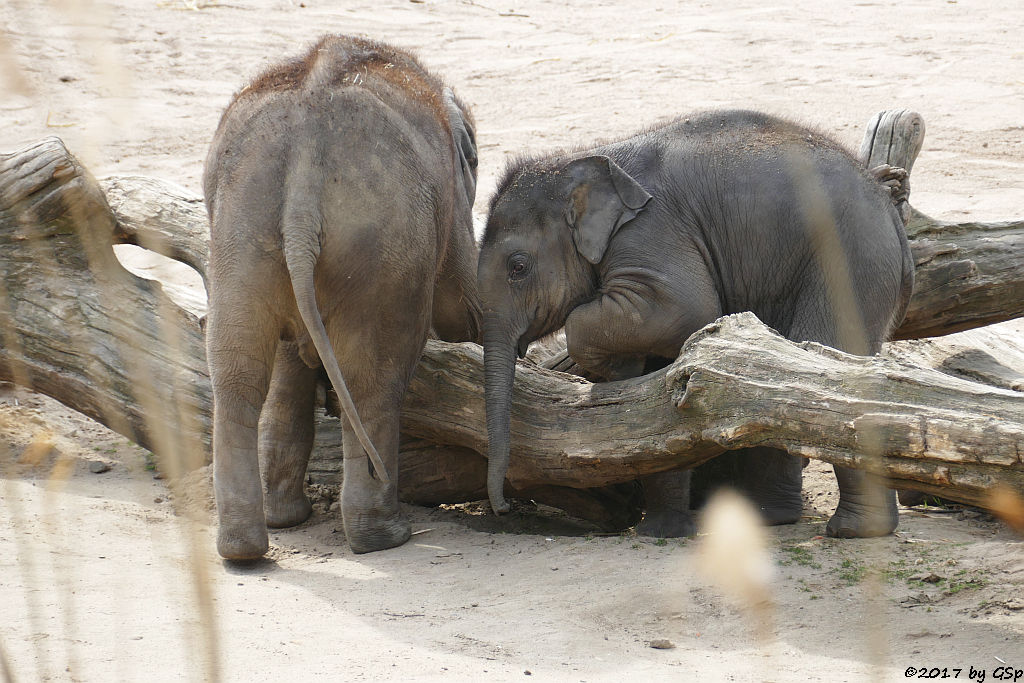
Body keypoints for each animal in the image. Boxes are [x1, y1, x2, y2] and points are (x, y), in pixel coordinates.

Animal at [207, 36, 483, 561]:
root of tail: (305, 158)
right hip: (382, 246)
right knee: (375, 376)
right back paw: (384, 537)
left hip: (239, 231)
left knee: (237, 369)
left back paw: (250, 544)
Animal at [477, 111, 913, 540]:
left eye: (518, 267)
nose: (502, 509)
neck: (582, 159)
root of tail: (890, 211)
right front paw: (663, 531)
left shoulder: (651, 232)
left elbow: (687, 308)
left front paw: (616, 367)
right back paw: (770, 518)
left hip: (849, 262)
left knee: (825, 360)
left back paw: (855, 530)